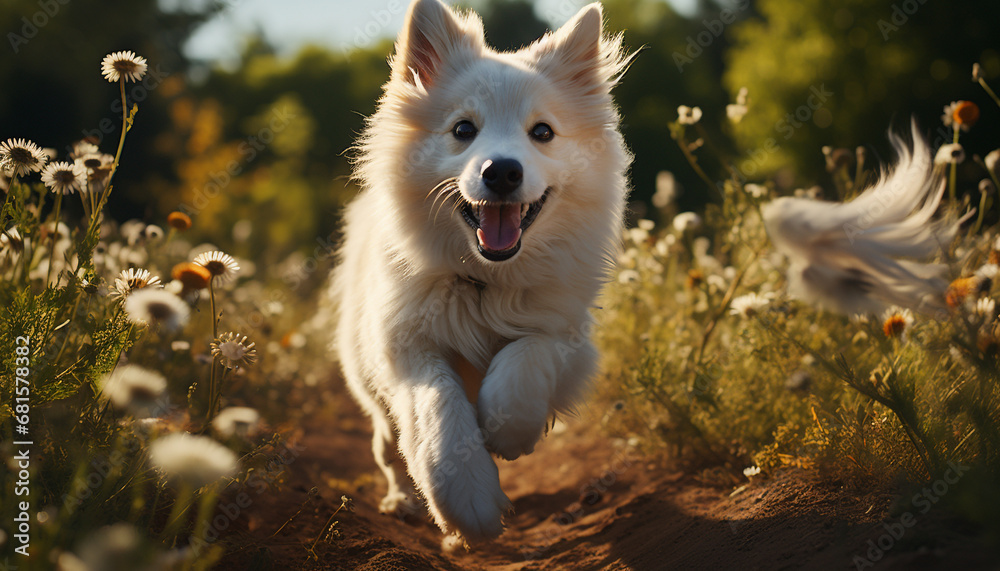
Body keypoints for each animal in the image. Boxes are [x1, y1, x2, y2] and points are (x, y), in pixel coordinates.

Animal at [330, 0, 632, 544]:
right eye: (463, 130)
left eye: (542, 132)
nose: (503, 171)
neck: (486, 282)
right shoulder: (407, 350)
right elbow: (439, 411)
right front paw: (467, 500)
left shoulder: (569, 335)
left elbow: (525, 358)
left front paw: (504, 431)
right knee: (387, 450)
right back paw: (402, 503)